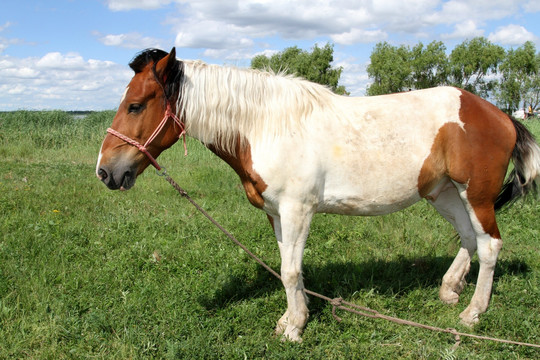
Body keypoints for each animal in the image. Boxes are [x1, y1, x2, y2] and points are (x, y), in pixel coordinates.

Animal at [96, 47, 540, 344]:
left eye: (136, 105)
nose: (105, 171)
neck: (266, 126)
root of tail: (501, 115)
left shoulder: (298, 211)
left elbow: (292, 271)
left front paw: (294, 328)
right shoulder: (276, 214)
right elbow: (286, 268)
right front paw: (291, 318)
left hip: (475, 195)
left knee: (490, 245)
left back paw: (473, 312)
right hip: (444, 193)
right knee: (469, 238)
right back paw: (450, 290)